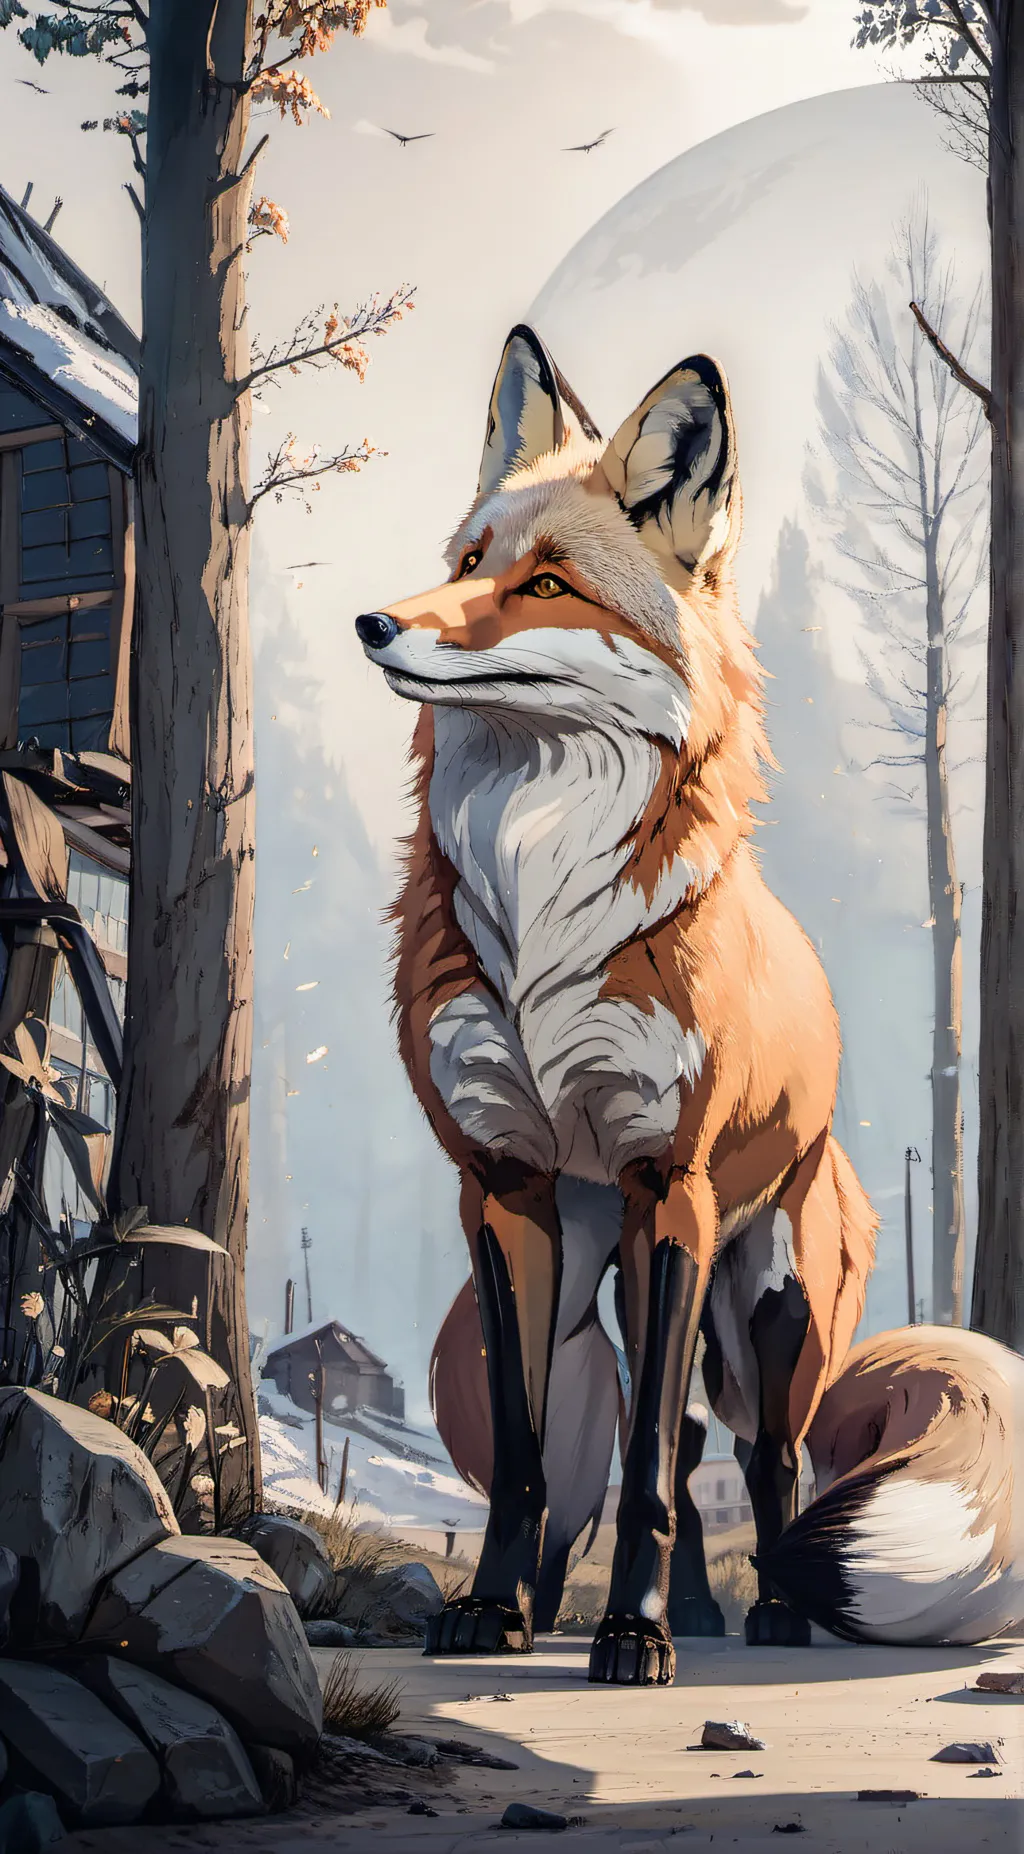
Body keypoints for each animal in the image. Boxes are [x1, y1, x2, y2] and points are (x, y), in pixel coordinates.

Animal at [355, 324, 878, 1685]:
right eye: (466, 563)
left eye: (546, 585)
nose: (374, 621)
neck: (541, 905)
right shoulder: (503, 1186)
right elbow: (531, 1459)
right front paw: (495, 1612)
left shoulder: (667, 1182)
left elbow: (641, 1466)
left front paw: (632, 1635)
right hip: (611, 1270)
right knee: (684, 1446)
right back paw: (679, 1607)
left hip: (761, 1303)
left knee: (758, 1453)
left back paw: (767, 1611)